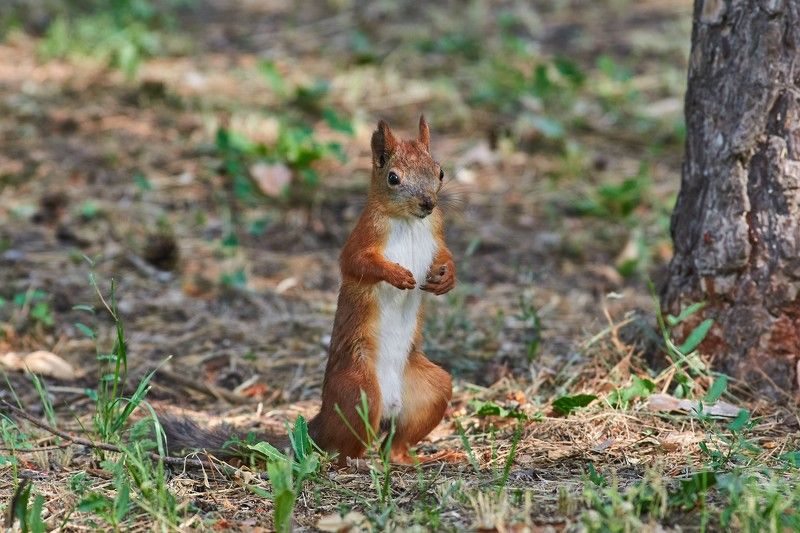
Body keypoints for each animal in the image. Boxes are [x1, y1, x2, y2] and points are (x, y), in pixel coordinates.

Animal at [161, 117, 457, 465]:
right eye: (393, 178)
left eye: (440, 171)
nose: (428, 203)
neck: (409, 221)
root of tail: (321, 419)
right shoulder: (362, 236)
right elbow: (356, 263)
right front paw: (396, 274)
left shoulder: (436, 232)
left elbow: (445, 255)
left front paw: (447, 278)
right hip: (359, 389)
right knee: (343, 448)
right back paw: (355, 462)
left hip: (432, 389)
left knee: (395, 444)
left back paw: (422, 457)